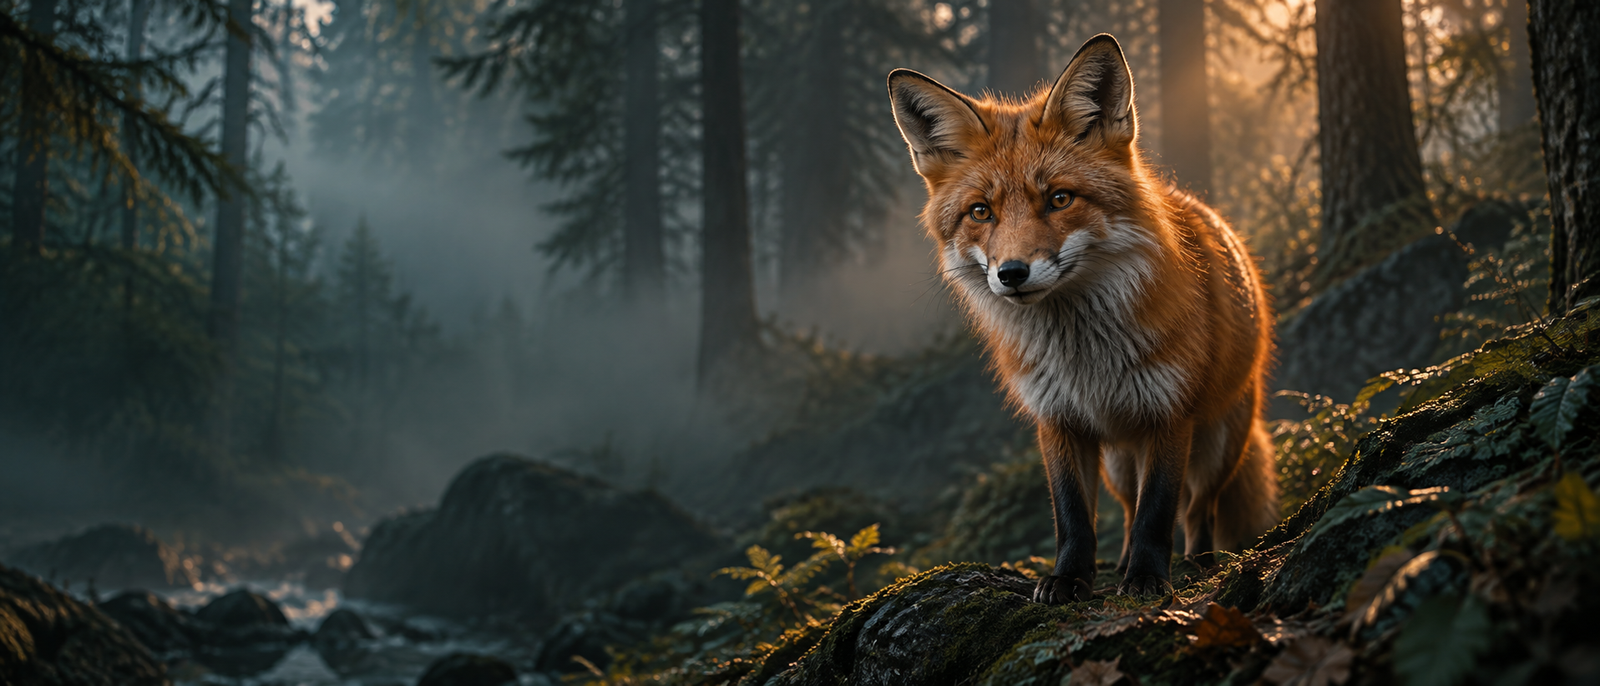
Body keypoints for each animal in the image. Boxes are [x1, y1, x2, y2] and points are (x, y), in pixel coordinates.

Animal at [887, 34, 1279, 602]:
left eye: (1059, 199)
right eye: (981, 212)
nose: (1011, 273)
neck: (1085, 360)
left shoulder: (1169, 413)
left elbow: (1159, 511)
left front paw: (1148, 579)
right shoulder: (1058, 419)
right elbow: (1073, 516)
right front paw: (1070, 578)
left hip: (1218, 440)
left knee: (1197, 508)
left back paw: (1197, 562)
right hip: (1119, 460)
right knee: (1127, 507)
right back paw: (1121, 562)